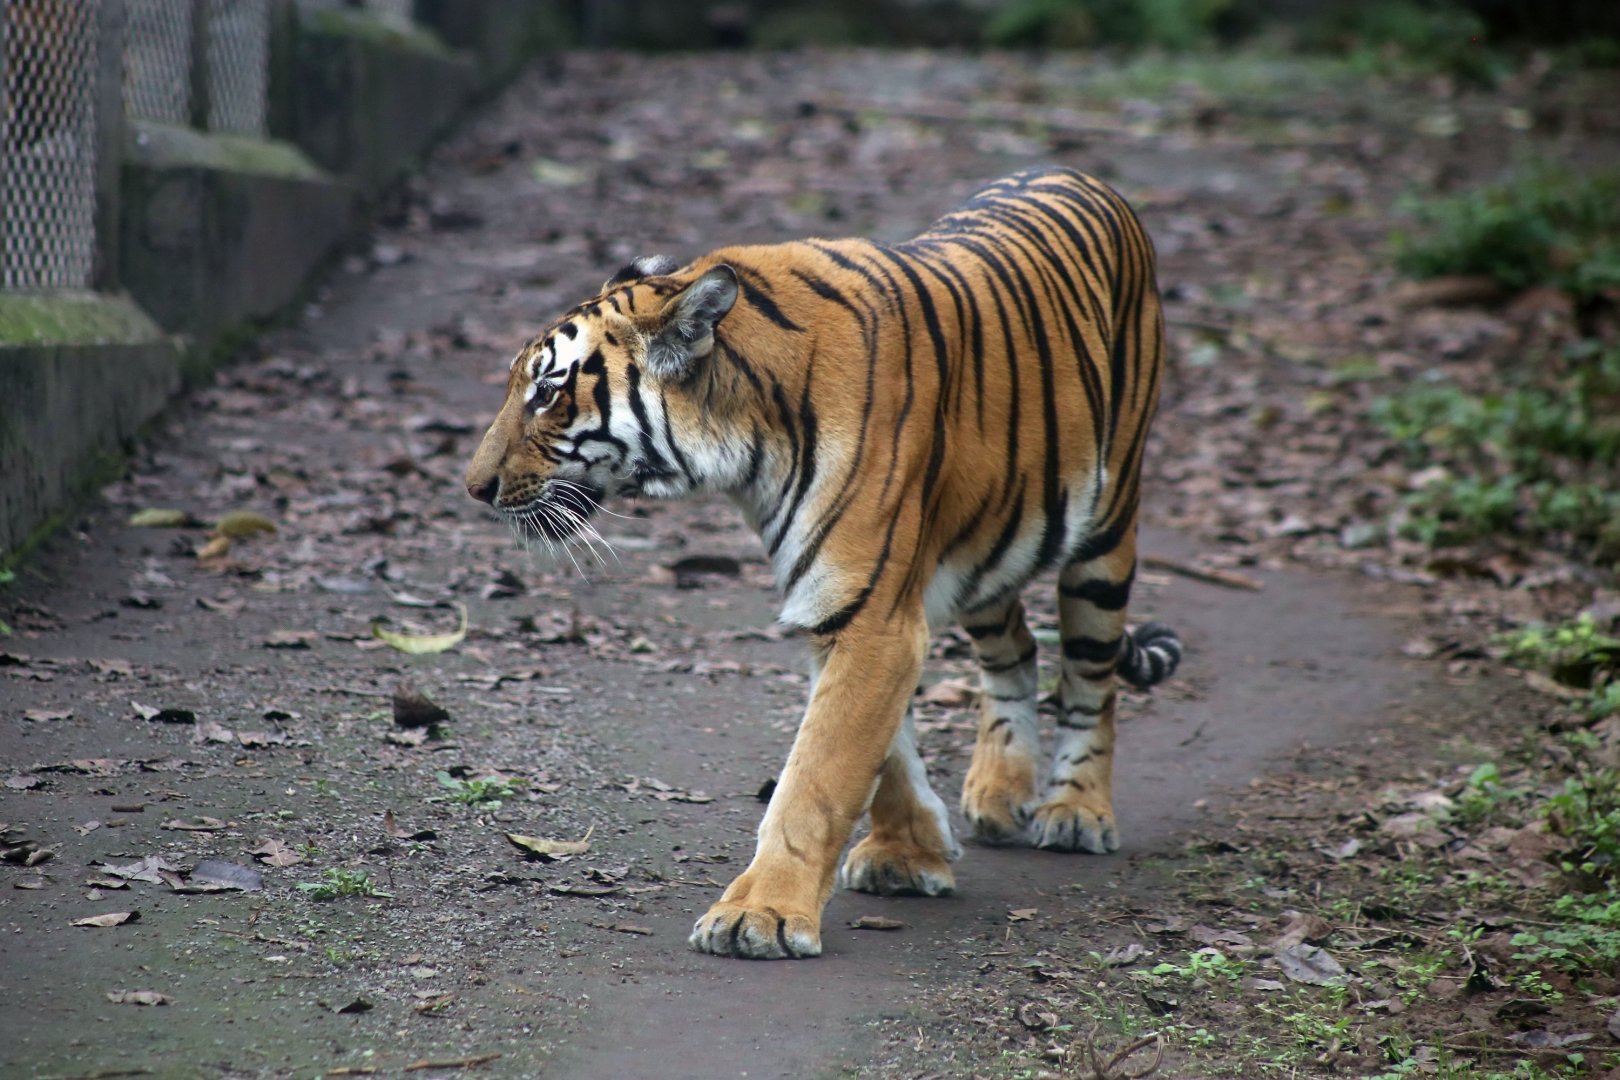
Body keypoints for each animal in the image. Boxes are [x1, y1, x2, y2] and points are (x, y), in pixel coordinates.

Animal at [465, 166, 1182, 960]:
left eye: (548, 392)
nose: (474, 487)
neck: (744, 445)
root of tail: (1081, 176)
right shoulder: (843, 607)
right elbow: (883, 753)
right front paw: (908, 851)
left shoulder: (870, 615)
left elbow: (817, 775)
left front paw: (760, 914)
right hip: (989, 536)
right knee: (1016, 649)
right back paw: (1001, 792)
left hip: (1105, 532)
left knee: (1092, 677)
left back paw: (1076, 811)